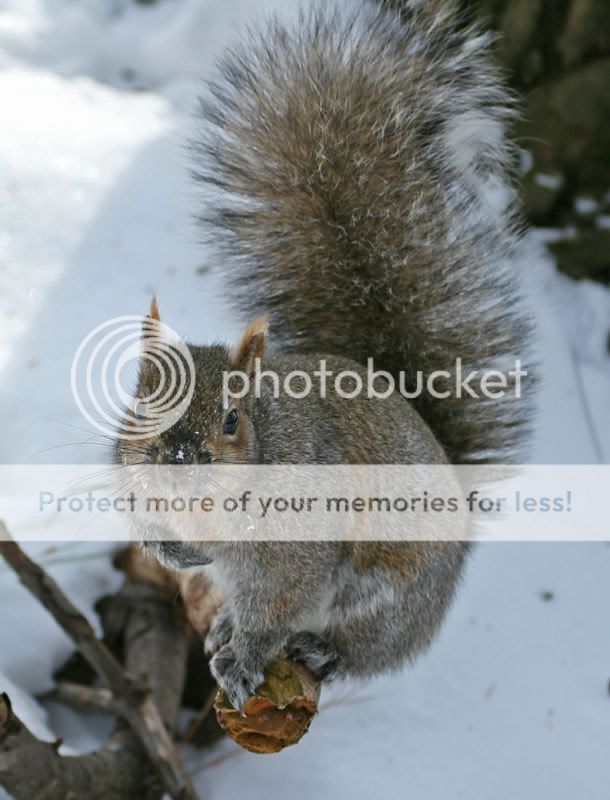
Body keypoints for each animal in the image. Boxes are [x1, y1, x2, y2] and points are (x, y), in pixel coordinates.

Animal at [114, 1, 532, 712]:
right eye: (142, 403)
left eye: (233, 420)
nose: (177, 463)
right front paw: (169, 550)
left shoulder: (295, 550)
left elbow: (277, 605)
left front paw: (245, 659)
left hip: (386, 593)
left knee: (365, 648)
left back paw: (313, 648)